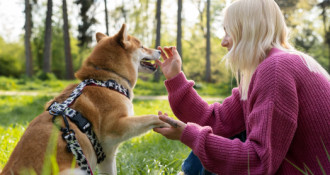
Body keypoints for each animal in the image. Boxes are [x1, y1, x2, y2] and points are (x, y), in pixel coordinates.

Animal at [1, 23, 169, 174]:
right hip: (75, 170)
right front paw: (167, 121)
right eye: (142, 46)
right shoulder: (115, 132)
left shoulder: (106, 154)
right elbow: (150, 117)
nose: (159, 50)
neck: (108, 79)